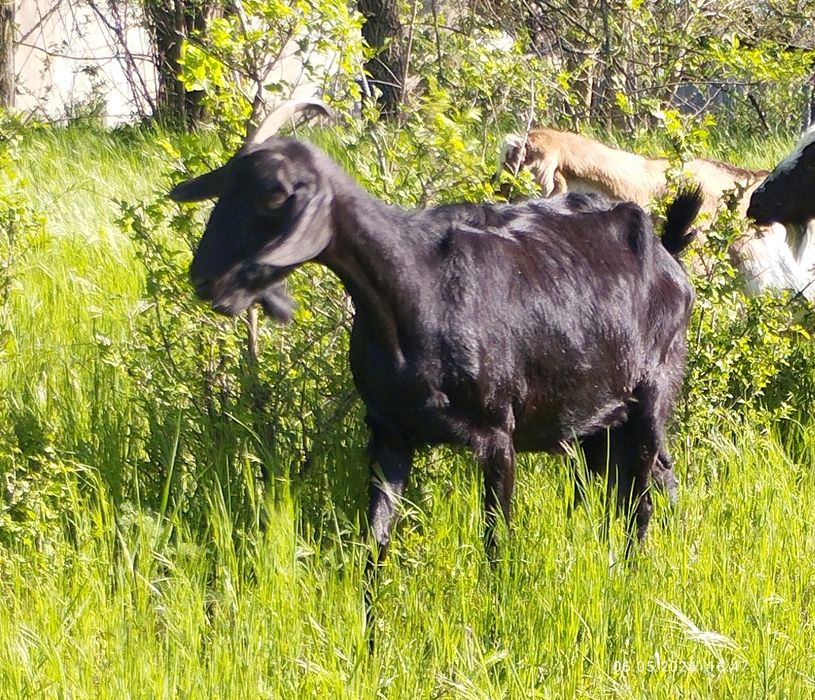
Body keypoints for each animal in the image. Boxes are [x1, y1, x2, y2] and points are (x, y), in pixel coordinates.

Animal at [170, 110, 702, 569]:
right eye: (225, 189)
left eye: (275, 197)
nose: (206, 279)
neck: (416, 288)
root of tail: (668, 254)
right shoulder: (389, 433)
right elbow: (375, 544)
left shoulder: (497, 435)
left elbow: (495, 542)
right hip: (595, 421)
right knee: (644, 482)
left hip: (651, 396)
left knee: (643, 500)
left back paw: (633, 573)